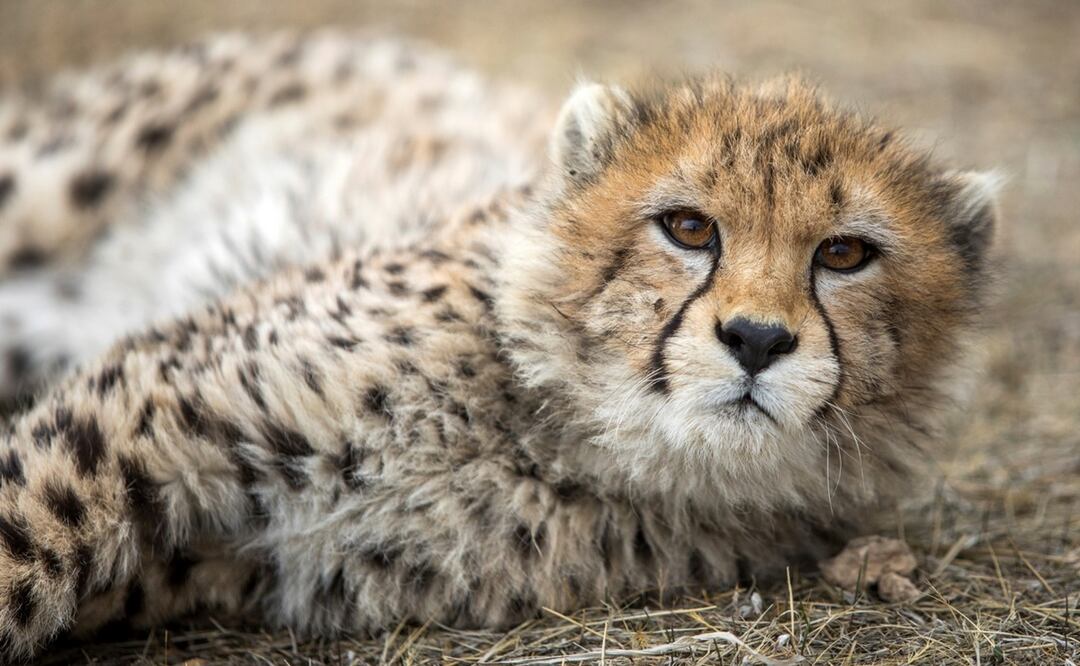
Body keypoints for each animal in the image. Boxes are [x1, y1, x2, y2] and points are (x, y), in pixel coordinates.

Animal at [0, 32, 998, 660]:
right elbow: (27, 531)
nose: (757, 338)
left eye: (845, 254)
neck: (557, 430)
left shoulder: (234, 553)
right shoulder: (150, 400)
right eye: (688, 227)